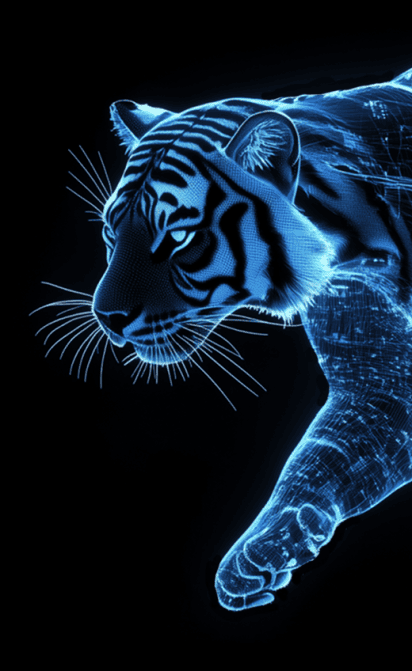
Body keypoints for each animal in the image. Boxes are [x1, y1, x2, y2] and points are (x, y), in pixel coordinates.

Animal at [35, 69, 412, 611]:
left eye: (177, 238)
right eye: (110, 230)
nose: (106, 317)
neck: (362, 250)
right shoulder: (378, 381)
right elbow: (322, 457)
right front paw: (261, 555)